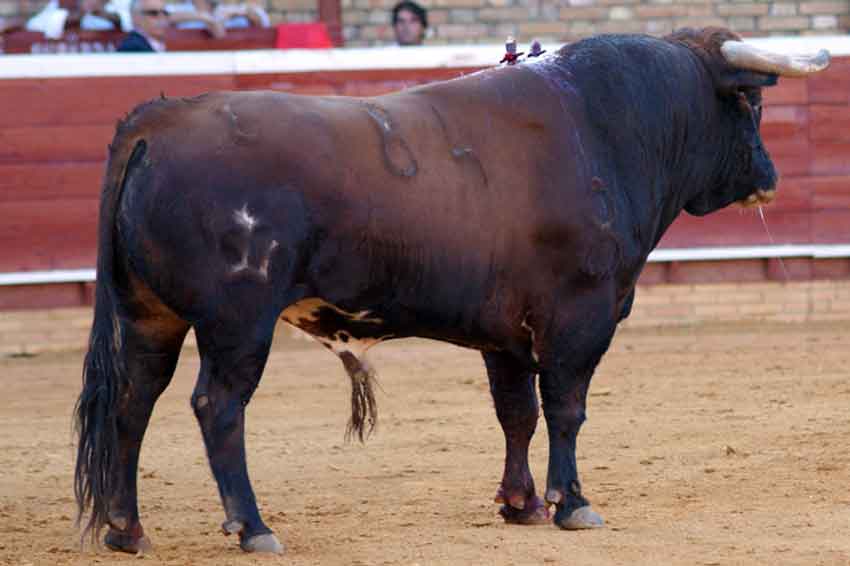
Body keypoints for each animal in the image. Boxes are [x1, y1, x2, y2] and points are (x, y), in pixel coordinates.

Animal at [74, 26, 828, 556]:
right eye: (751, 102)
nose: (770, 177)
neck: (605, 127)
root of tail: (156, 123)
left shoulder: (508, 334)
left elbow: (517, 414)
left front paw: (521, 505)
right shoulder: (579, 318)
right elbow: (567, 409)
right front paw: (573, 504)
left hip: (150, 317)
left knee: (133, 404)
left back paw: (126, 530)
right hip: (238, 322)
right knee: (218, 408)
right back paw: (253, 526)